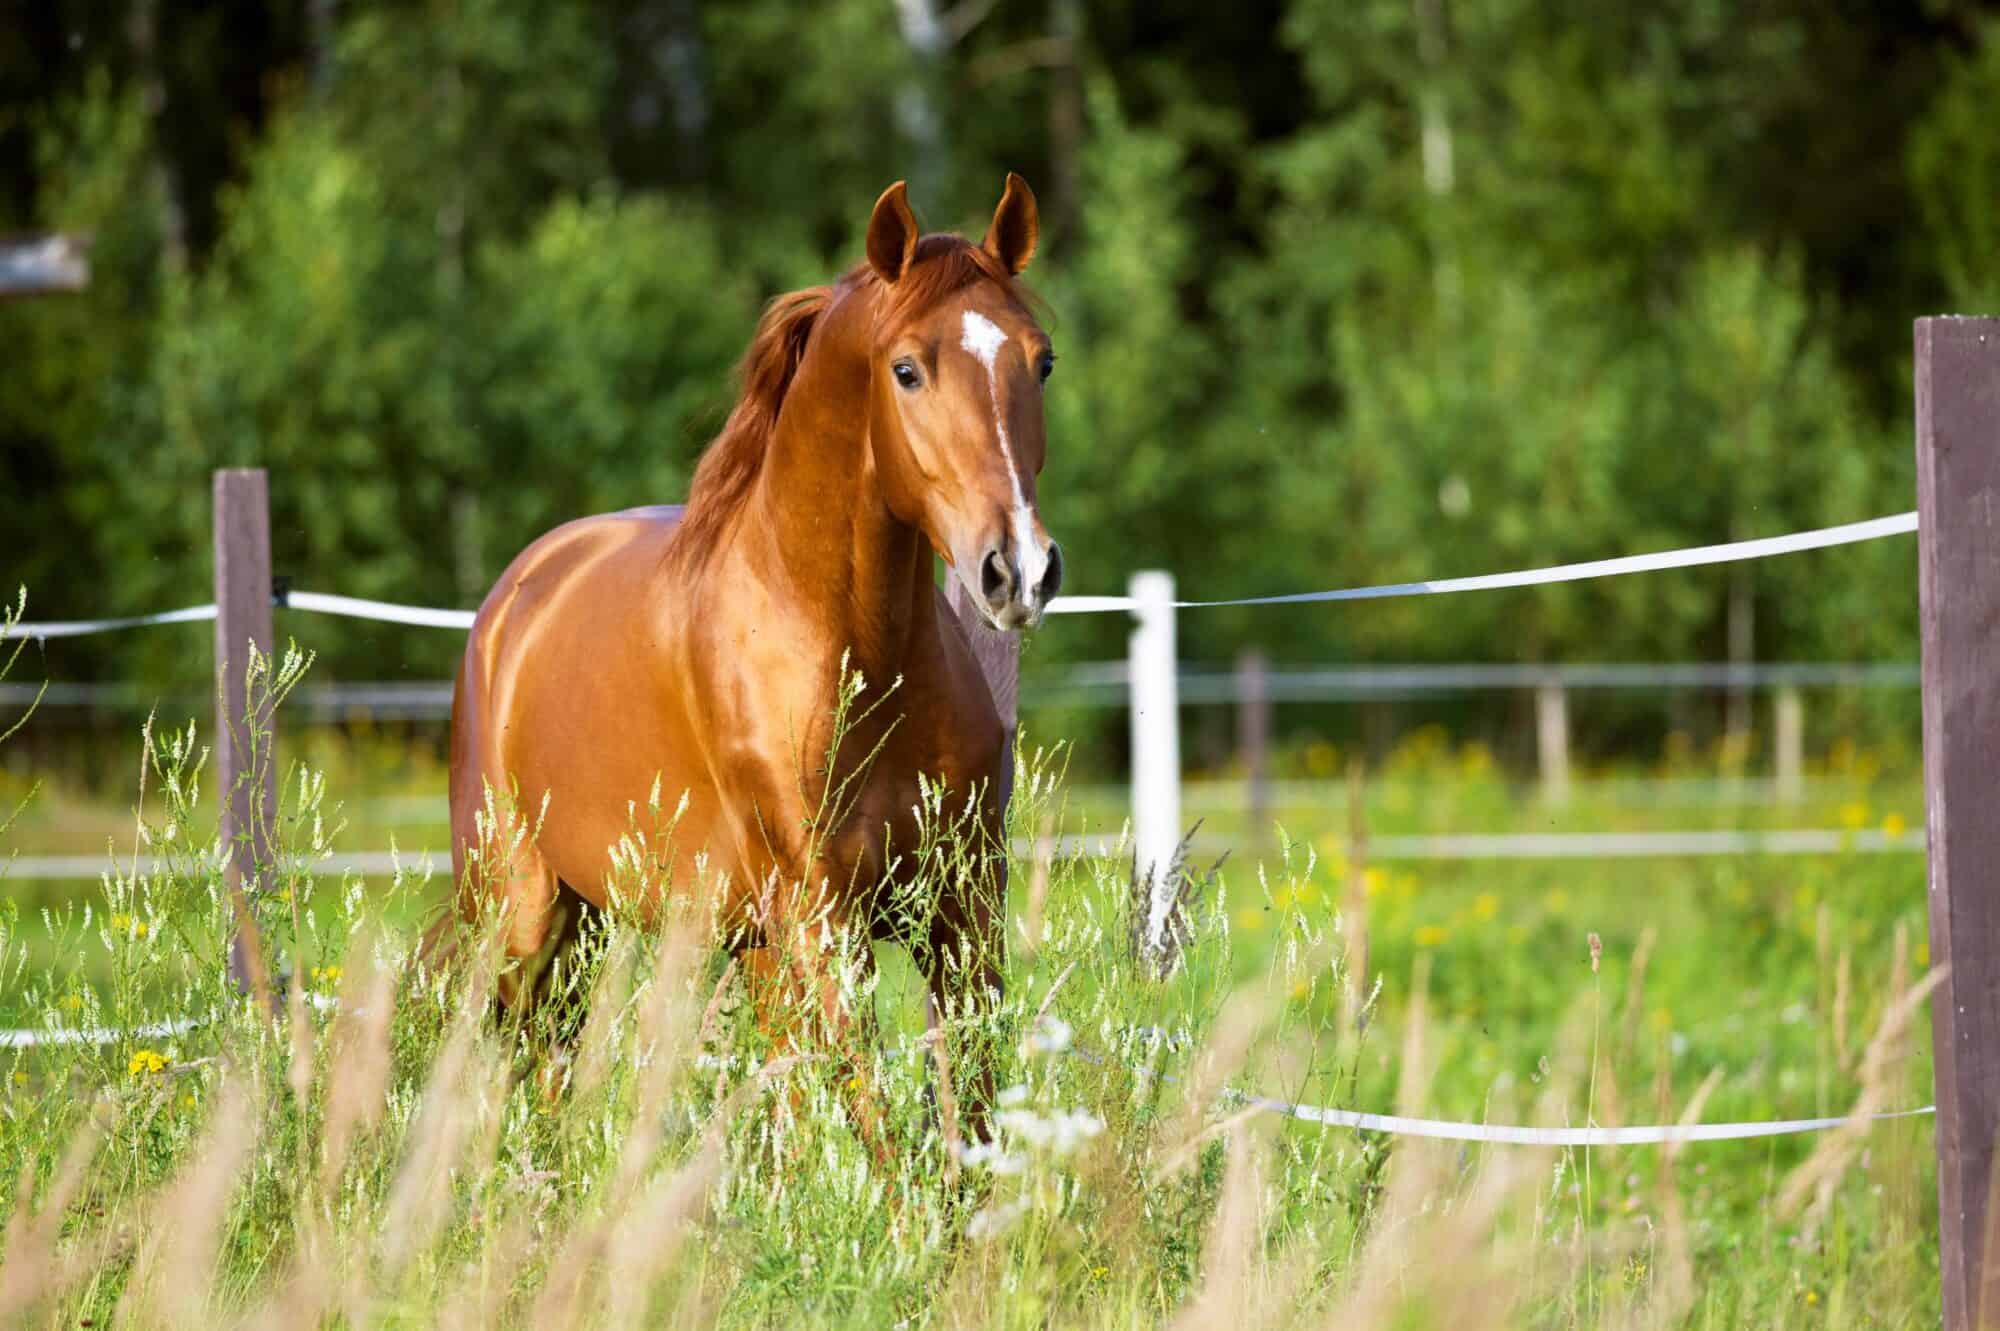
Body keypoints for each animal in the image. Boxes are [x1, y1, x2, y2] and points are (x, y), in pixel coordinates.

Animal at [450, 170, 1064, 1135]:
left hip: (647, 929)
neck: (855, 659)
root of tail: (515, 596)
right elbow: (875, 1120)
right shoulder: (822, 921)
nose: (1019, 570)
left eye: (1040, 361)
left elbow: (967, 1112)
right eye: (907, 369)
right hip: (523, 914)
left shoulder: (961, 910)